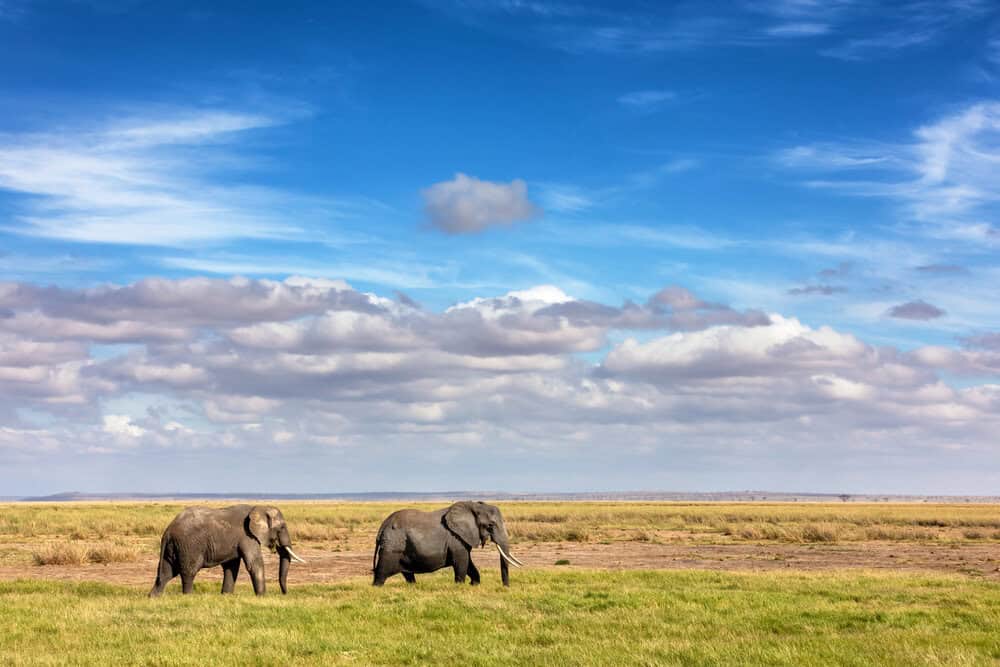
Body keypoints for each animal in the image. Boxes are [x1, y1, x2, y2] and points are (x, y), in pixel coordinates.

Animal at [147, 504, 304, 596]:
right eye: (282, 528)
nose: (284, 594)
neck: (259, 507)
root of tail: (168, 531)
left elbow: (231, 566)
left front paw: (226, 596)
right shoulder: (247, 536)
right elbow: (254, 564)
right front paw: (262, 597)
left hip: (174, 547)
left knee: (166, 573)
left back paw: (153, 597)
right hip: (189, 546)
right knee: (188, 572)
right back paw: (188, 596)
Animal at [370, 504, 524, 588]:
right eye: (490, 526)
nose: (506, 587)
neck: (474, 505)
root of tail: (382, 527)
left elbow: (469, 563)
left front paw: (474, 584)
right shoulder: (456, 539)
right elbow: (462, 562)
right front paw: (460, 586)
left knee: (407, 574)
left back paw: (413, 586)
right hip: (392, 547)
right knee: (382, 573)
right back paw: (376, 587)